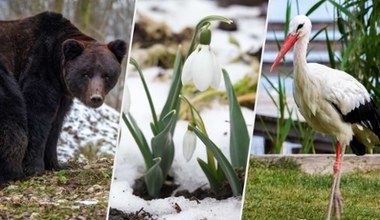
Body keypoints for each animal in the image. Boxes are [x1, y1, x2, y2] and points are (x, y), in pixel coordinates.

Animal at [0, 10, 127, 184]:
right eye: (86, 73)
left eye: (106, 75)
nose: (95, 98)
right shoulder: (39, 72)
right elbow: (37, 117)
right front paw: (34, 169)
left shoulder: (62, 94)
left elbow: (56, 124)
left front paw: (56, 164)